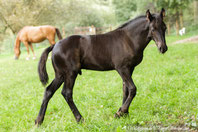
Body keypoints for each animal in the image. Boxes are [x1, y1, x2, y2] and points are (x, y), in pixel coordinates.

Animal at [35, 9, 167, 125]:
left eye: (165, 28)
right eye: (153, 29)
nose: (163, 48)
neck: (128, 39)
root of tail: (55, 45)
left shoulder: (130, 69)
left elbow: (125, 90)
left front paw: (124, 114)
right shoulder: (122, 68)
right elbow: (133, 89)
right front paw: (120, 113)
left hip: (60, 75)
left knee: (49, 91)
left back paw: (38, 121)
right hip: (70, 73)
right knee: (67, 93)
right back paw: (80, 119)